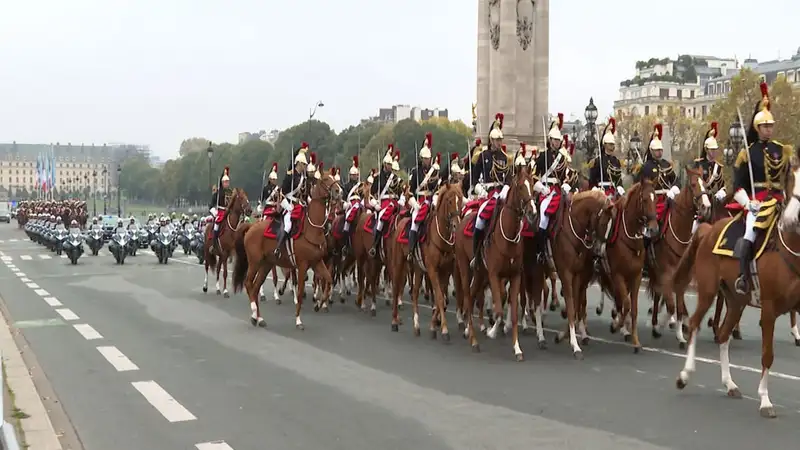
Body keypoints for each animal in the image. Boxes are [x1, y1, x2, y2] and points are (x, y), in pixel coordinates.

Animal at [234, 171, 340, 328]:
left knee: (256, 286)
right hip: (255, 262)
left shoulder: (317, 262)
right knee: (249, 283)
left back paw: (259, 318)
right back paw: (254, 312)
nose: (339, 191)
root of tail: (251, 227)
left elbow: (328, 280)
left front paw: (319, 304)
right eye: (325, 179)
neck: (312, 228)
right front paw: (298, 320)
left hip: (266, 264)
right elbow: (300, 291)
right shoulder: (302, 265)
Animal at [390, 181, 462, 340]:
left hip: (418, 268)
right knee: (396, 287)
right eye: (449, 201)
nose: (456, 225)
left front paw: (433, 326)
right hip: (399, 264)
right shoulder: (432, 270)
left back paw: (416, 325)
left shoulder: (445, 271)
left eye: (460, 200)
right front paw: (444, 330)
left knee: (415, 293)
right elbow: (440, 297)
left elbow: (440, 297)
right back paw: (394, 321)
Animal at [454, 167, 536, 360]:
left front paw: (517, 348)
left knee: (473, 295)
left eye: (532, 185)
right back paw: (474, 340)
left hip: (480, 273)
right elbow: (498, 310)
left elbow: (512, 313)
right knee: (467, 296)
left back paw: (469, 330)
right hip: (465, 268)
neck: (508, 236)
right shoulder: (494, 275)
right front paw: (492, 331)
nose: (532, 212)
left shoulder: (515, 276)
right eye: (521, 187)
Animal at [592, 179, 656, 352]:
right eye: (645, 200)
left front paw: (635, 340)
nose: (654, 229)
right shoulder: (618, 275)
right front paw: (616, 326)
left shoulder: (636, 277)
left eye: (655, 199)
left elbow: (632, 309)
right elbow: (626, 305)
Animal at [664, 153, 800, 416]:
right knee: (694, 324)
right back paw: (685, 374)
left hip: (736, 300)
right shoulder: (769, 309)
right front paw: (765, 400)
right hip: (708, 291)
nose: (790, 220)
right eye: (792, 178)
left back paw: (729, 383)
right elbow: (767, 355)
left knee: (724, 335)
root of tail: (708, 229)